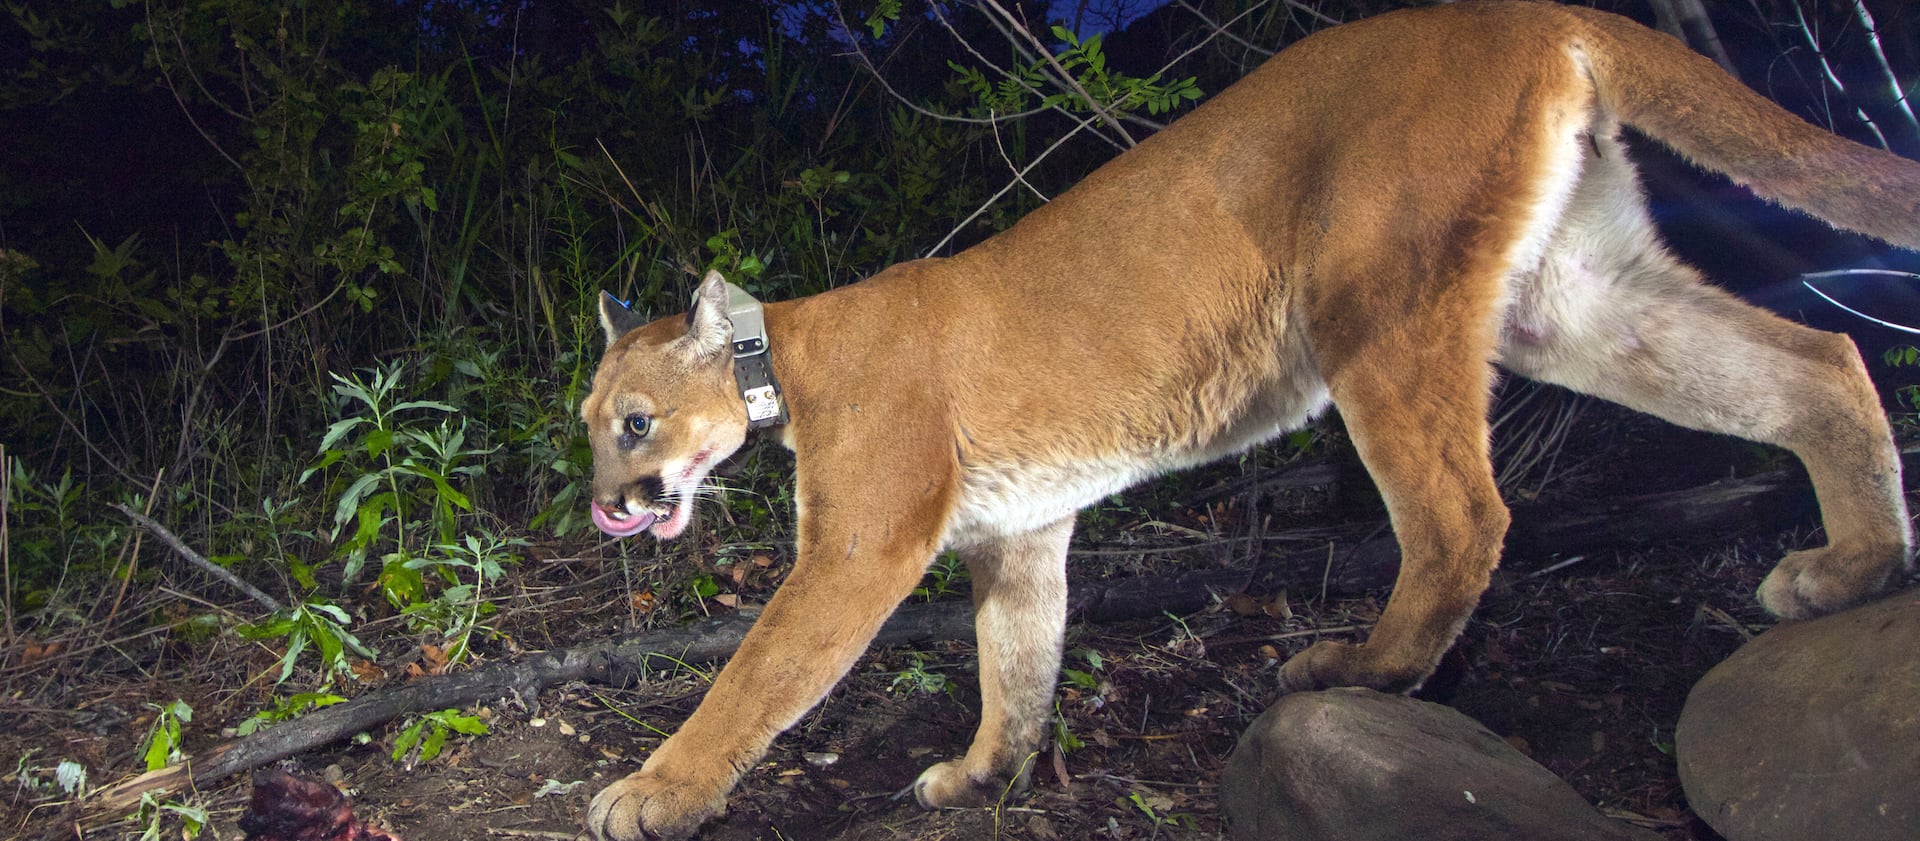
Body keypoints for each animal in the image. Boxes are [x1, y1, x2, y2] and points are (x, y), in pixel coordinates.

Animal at [580, 3, 1917, 838]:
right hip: (1570, 299)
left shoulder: (863, 542)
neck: (784, 361)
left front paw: (651, 792)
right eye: (590, 420)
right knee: (1821, 355)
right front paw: (981, 772)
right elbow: (1019, 660)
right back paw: (1853, 567)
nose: (603, 502)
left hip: (1375, 309)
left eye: (635, 423)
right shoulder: (1023, 533)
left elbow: (758, 674)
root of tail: (1534, 14)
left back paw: (1363, 664)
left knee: (1464, 511)